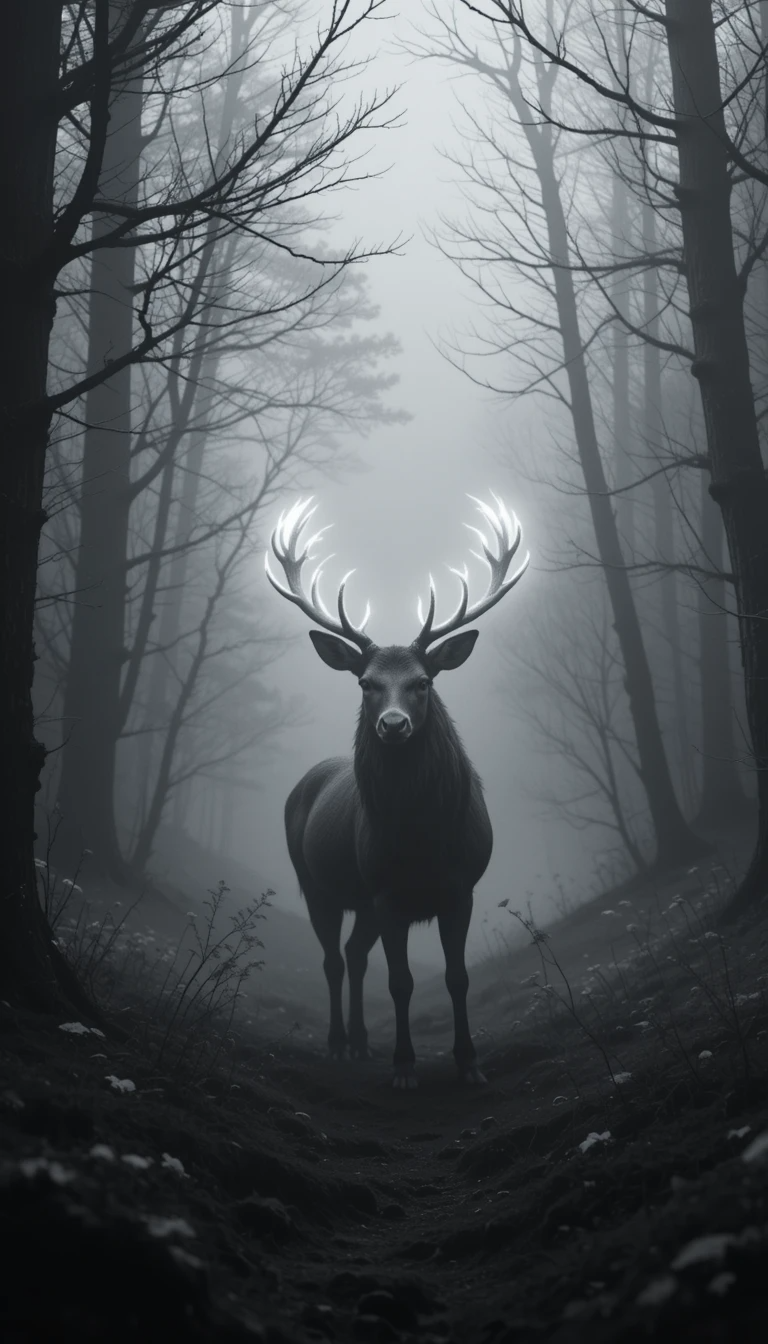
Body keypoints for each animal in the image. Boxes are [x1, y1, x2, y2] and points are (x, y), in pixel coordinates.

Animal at [265, 493, 529, 1088]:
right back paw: (340, 1044)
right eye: (366, 683)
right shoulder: (386, 893)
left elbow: (457, 978)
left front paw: (469, 1063)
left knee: (354, 953)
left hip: (360, 900)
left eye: (423, 681)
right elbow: (401, 981)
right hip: (315, 882)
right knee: (334, 959)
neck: (422, 840)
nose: (392, 724)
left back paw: (363, 1042)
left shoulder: (461, 887)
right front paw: (404, 1066)